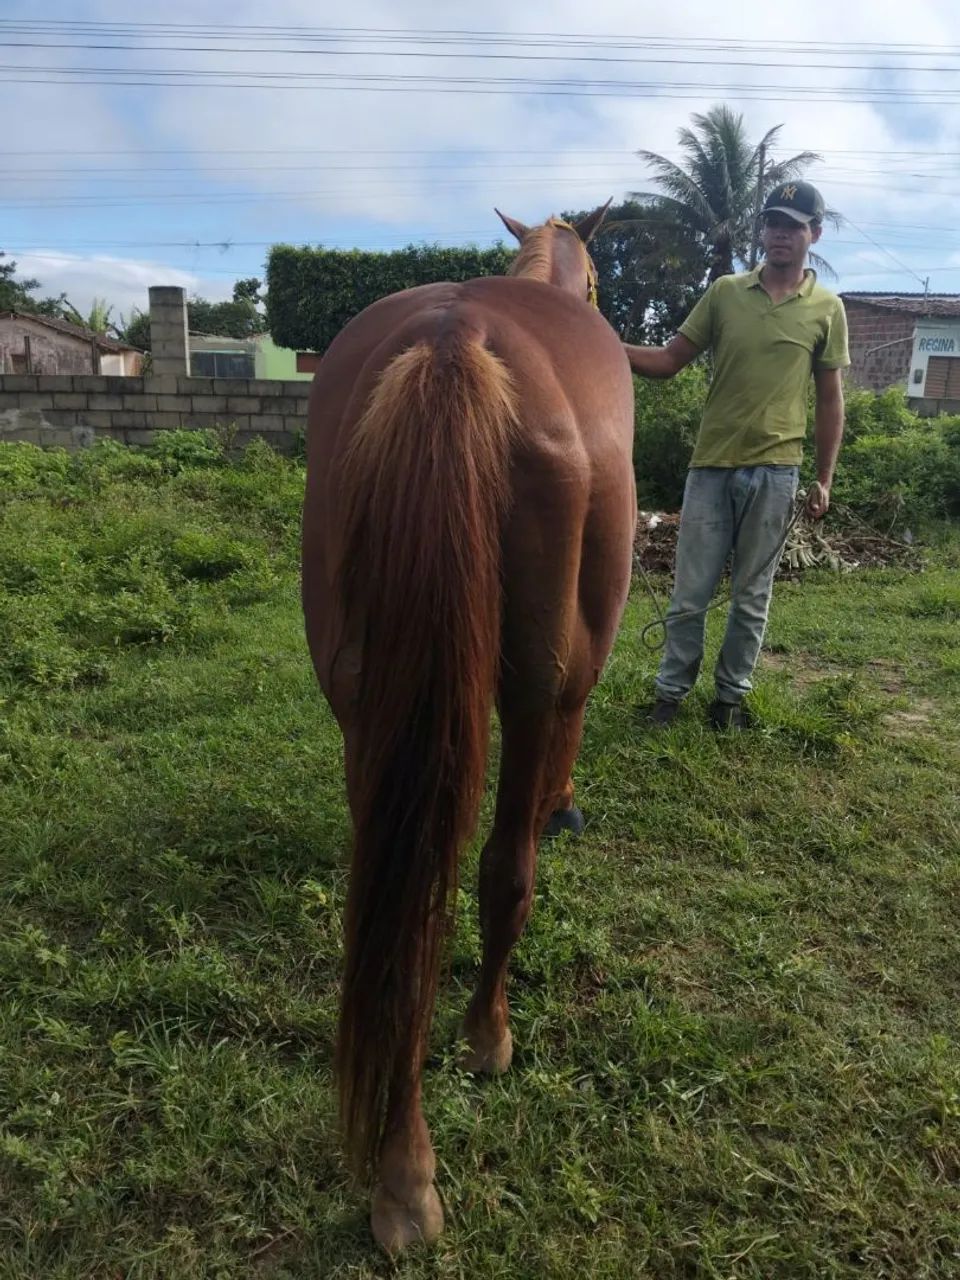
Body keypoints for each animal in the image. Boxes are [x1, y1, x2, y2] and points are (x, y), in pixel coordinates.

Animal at [301, 201, 637, 1253]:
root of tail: (453, 340)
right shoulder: (571, 671)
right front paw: (563, 805)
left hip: (363, 694)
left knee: (398, 906)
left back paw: (400, 1171)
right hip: (527, 683)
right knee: (500, 874)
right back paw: (485, 1038)